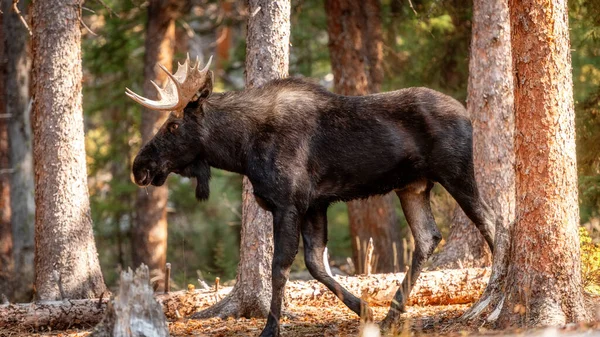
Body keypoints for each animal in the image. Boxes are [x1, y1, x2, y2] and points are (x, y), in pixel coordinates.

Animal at [127, 56, 496, 334]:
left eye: (173, 126)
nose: (139, 167)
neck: (240, 152)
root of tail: (467, 113)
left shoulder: (288, 203)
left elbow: (280, 266)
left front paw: (270, 328)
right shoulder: (316, 204)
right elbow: (316, 263)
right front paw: (366, 311)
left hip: (456, 173)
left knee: (491, 220)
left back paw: (489, 299)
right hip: (413, 186)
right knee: (428, 237)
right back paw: (392, 314)